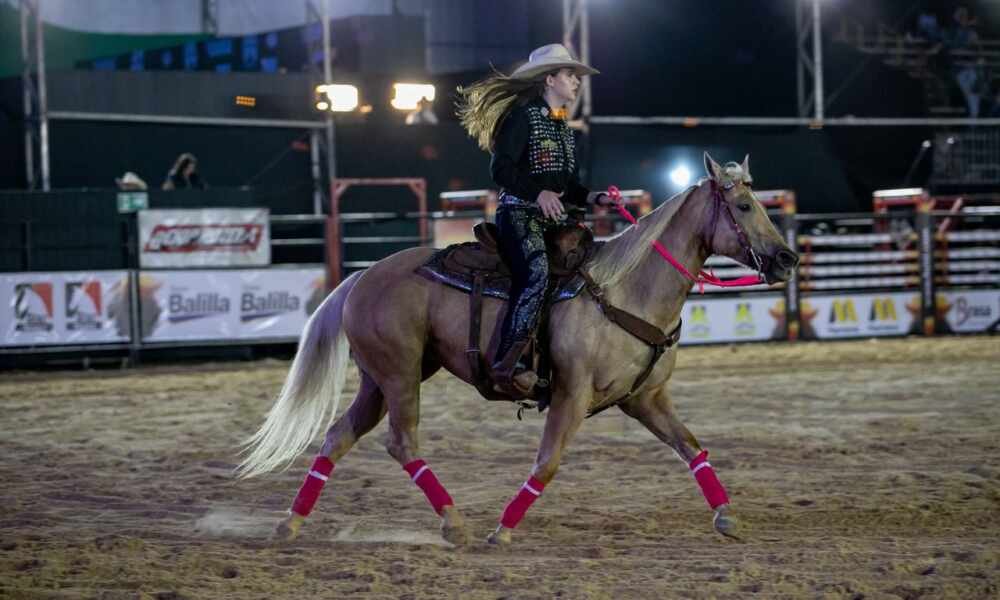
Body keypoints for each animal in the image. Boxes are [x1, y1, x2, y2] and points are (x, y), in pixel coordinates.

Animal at [237, 153, 799, 546]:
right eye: (744, 206)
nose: (787, 258)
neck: (624, 290)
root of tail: (361, 277)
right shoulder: (572, 394)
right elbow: (546, 463)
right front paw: (503, 530)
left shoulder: (645, 399)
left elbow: (692, 447)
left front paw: (727, 515)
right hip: (398, 375)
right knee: (402, 443)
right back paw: (455, 523)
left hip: (381, 378)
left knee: (338, 437)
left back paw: (290, 525)